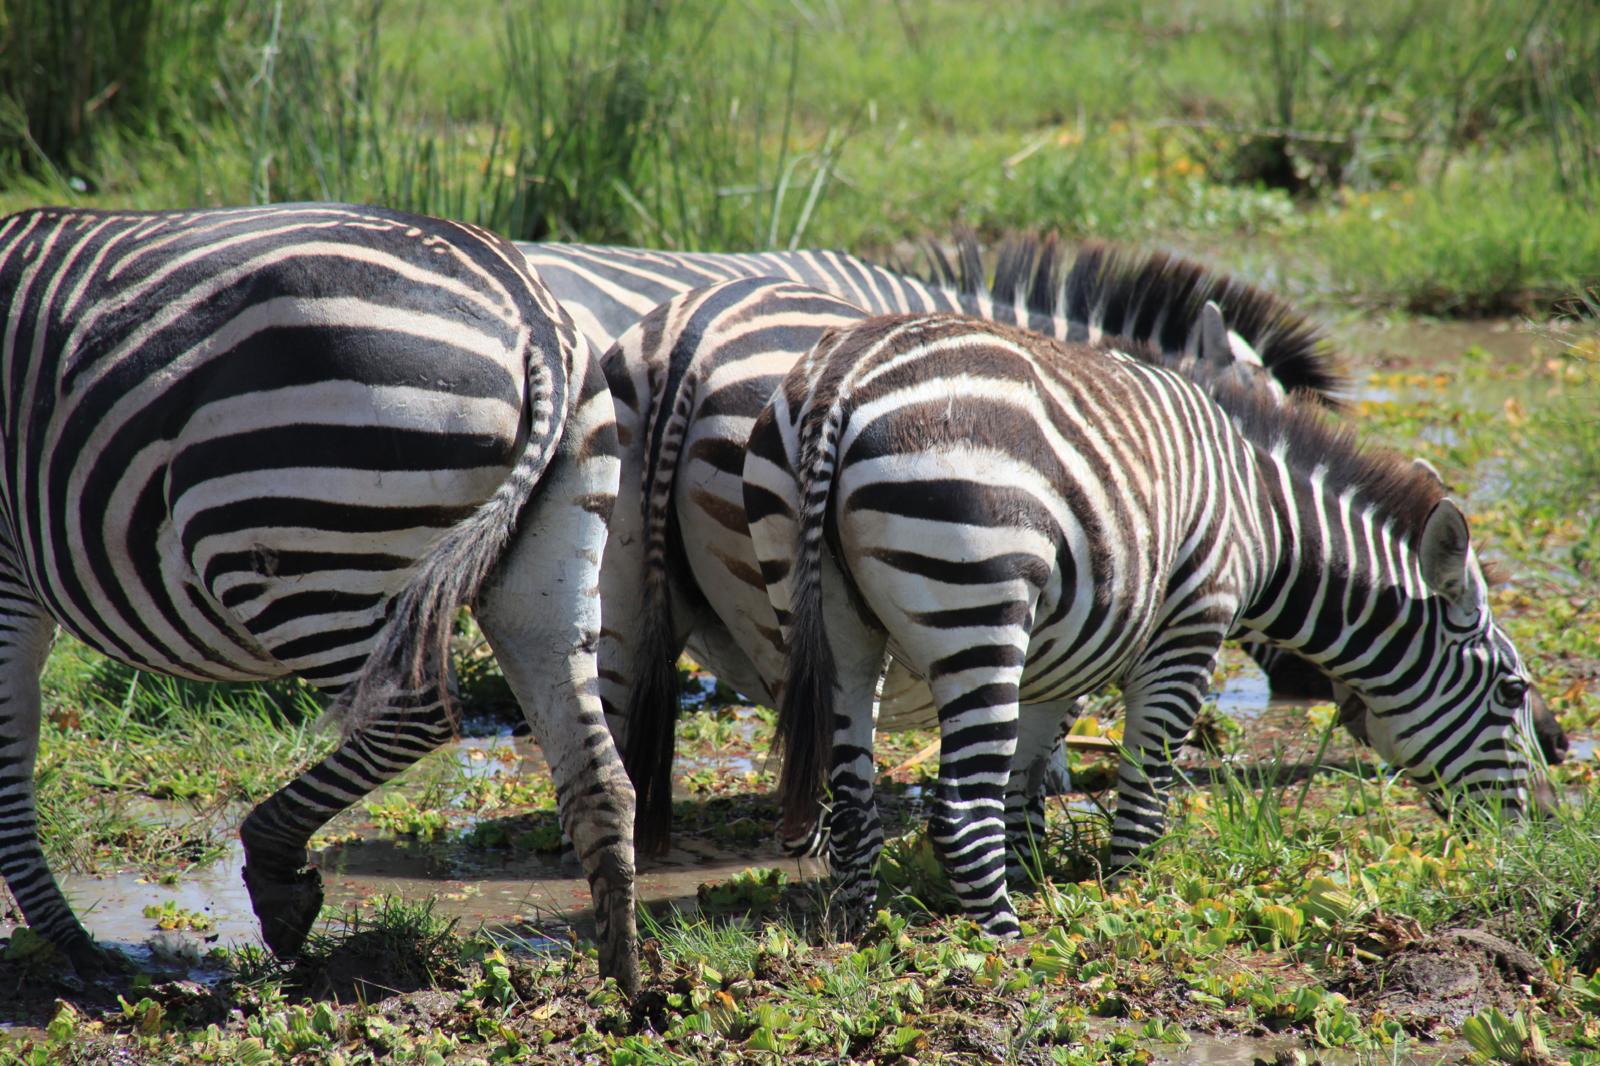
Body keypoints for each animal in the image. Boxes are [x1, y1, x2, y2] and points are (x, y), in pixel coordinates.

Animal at [0, 203, 638, 992]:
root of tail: (529, 313)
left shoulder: (8, 558)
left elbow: (11, 733)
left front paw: (65, 942)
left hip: (294, 536)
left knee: (409, 716)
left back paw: (275, 873)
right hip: (552, 553)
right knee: (596, 771)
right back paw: (626, 984)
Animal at [746, 311, 1553, 938]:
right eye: (1512, 691)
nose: (1540, 825)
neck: (1265, 518)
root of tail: (842, 377)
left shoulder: (1057, 657)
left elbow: (1027, 781)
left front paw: (1039, 873)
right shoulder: (1191, 628)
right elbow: (1142, 790)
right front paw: (1126, 898)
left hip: (826, 617)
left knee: (854, 800)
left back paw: (862, 929)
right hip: (981, 604)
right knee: (959, 811)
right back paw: (1005, 943)